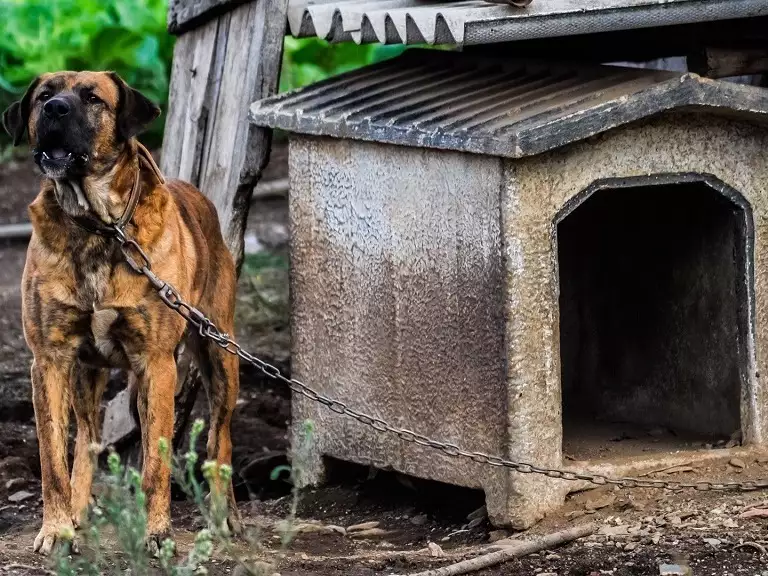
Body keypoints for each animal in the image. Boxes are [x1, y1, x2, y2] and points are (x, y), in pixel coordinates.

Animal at [1, 72, 242, 552]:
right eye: (43, 96)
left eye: (93, 98)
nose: (55, 108)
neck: (98, 225)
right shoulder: (50, 360)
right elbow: (53, 457)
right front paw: (56, 528)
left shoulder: (157, 363)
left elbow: (156, 462)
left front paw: (159, 532)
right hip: (86, 373)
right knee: (87, 440)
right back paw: (78, 512)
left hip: (220, 354)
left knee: (218, 440)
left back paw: (224, 518)